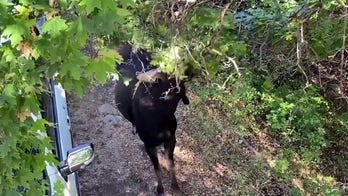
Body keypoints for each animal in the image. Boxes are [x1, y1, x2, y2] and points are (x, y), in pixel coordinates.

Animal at [114, 43, 190, 195]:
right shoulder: (149, 145)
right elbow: (157, 168)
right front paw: (160, 189)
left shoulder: (171, 139)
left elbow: (171, 164)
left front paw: (175, 187)